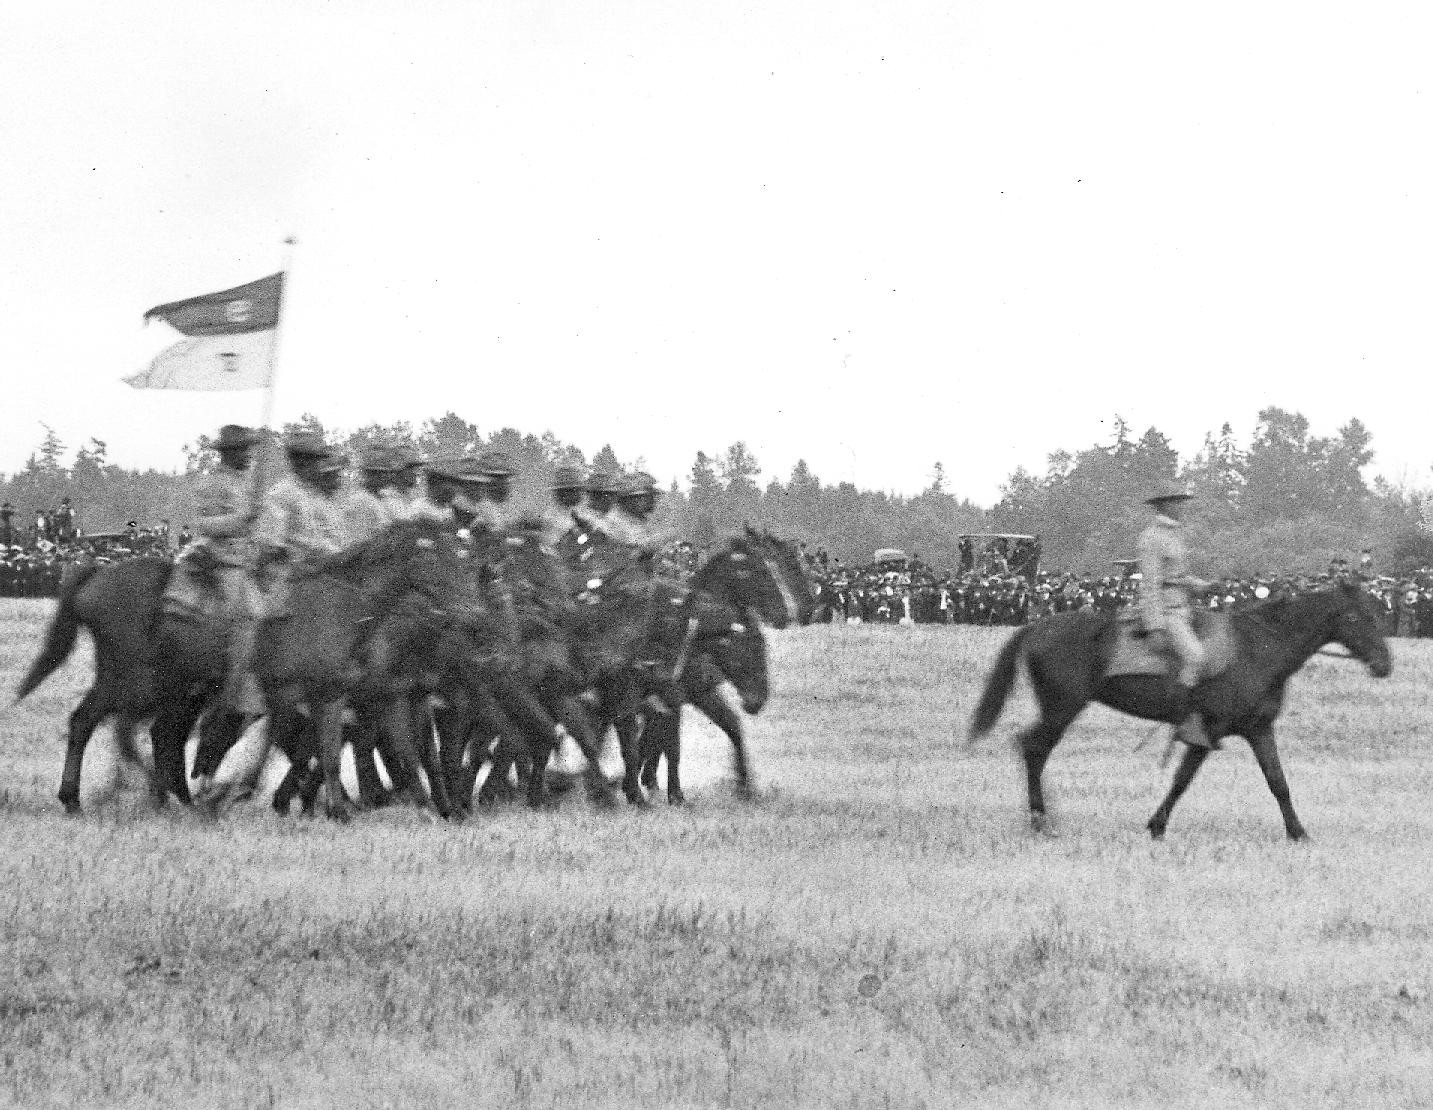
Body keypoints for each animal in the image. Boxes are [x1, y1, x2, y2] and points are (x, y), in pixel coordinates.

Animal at [968, 581, 1392, 842]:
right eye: (1356, 617)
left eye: (1376, 613)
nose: (1385, 664)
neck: (1258, 648)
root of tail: (1037, 627)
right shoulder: (1207, 730)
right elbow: (1181, 781)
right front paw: (1156, 826)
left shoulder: (1258, 729)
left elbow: (1278, 782)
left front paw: (1298, 832)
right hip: (1062, 707)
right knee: (1034, 748)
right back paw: (1041, 819)